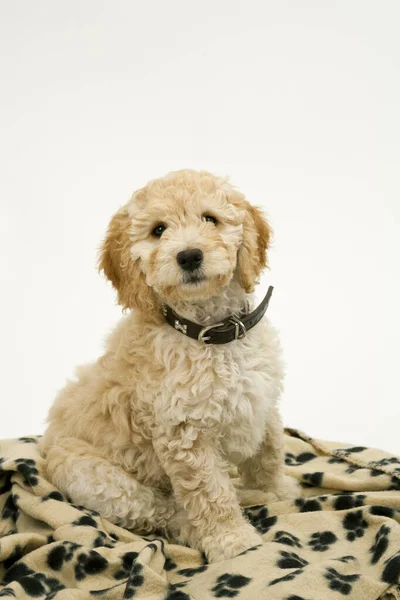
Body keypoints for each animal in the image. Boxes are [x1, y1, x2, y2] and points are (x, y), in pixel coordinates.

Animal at [39, 169, 300, 564]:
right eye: (158, 230)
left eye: (210, 218)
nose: (189, 255)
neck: (212, 335)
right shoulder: (185, 435)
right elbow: (210, 495)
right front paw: (233, 541)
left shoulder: (263, 403)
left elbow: (268, 455)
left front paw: (279, 491)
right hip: (93, 477)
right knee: (161, 510)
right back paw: (197, 528)